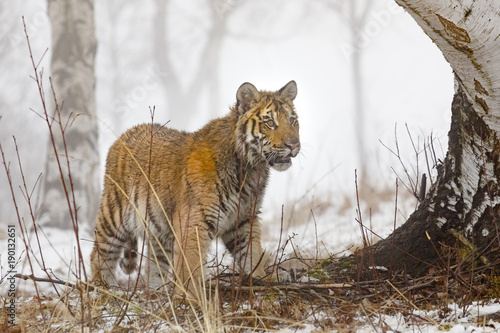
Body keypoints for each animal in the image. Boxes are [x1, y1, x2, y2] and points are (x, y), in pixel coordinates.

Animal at [89, 80, 300, 296]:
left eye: (292, 121)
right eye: (270, 123)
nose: (294, 145)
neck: (251, 168)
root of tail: (122, 135)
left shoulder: (243, 219)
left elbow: (252, 253)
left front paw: (263, 278)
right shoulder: (195, 219)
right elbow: (189, 264)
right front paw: (190, 297)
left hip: (160, 231)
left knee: (154, 266)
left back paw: (158, 291)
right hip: (113, 218)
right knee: (99, 255)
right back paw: (102, 290)